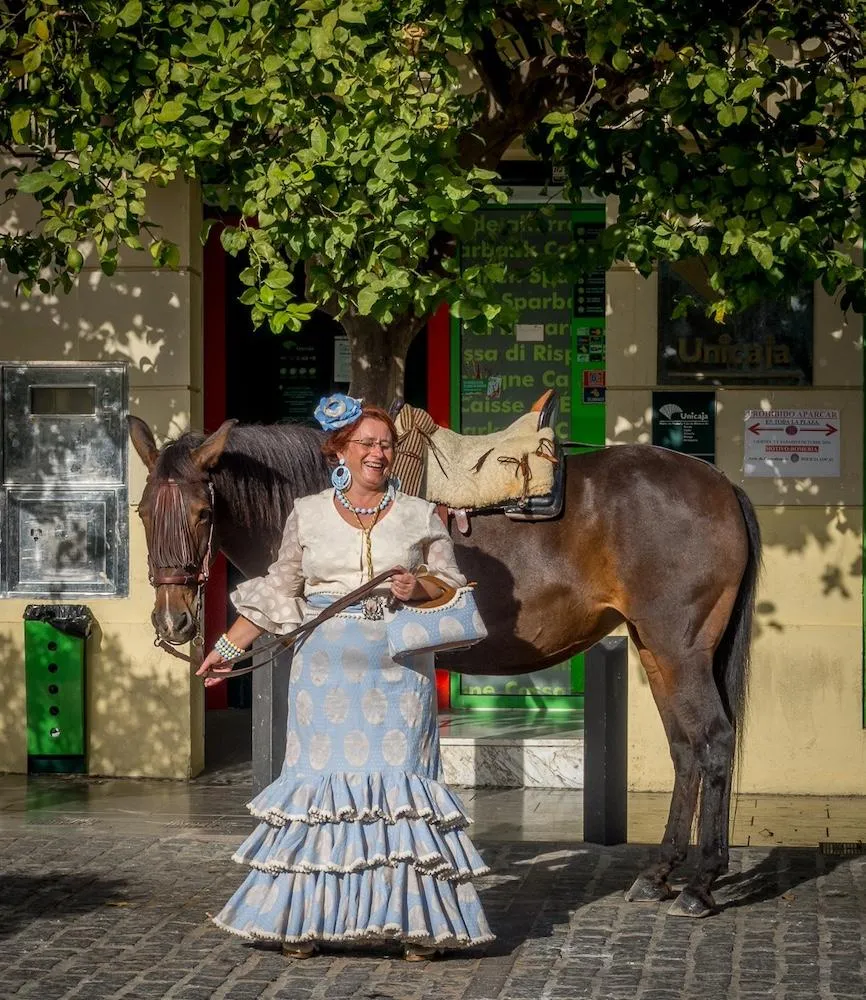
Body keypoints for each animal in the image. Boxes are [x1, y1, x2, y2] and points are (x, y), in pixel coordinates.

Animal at [126, 416, 756, 920]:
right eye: (143, 512)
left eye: (202, 512)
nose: (174, 620)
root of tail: (720, 482)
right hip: (655, 649)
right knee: (685, 749)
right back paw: (660, 874)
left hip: (679, 650)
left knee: (714, 741)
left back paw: (701, 884)